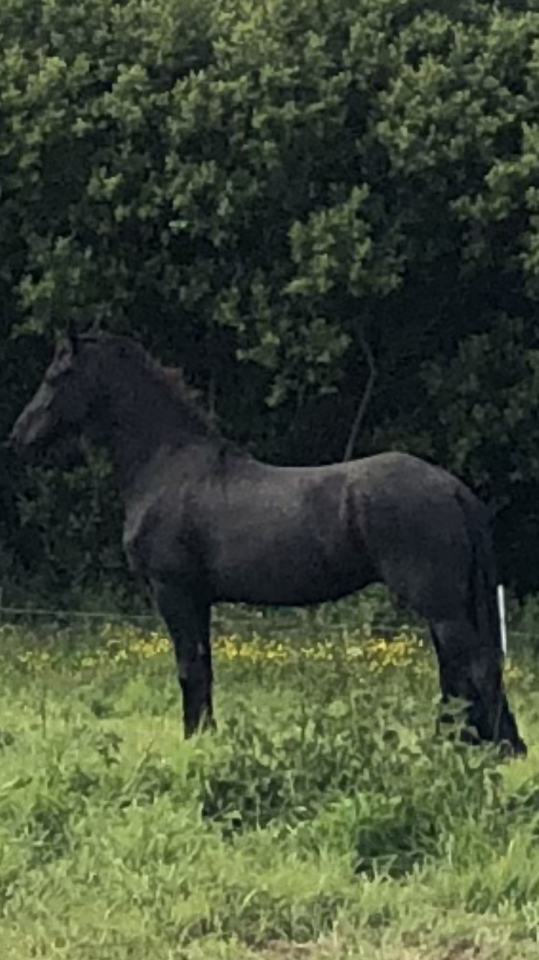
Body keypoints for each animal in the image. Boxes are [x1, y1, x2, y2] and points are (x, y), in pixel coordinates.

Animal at [5, 331, 526, 755]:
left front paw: (194, 741)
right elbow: (204, 668)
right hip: (446, 605)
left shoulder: (174, 592)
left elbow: (189, 668)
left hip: (439, 603)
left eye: (56, 376)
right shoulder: (198, 599)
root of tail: (453, 489)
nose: (17, 438)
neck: (166, 465)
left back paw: (492, 748)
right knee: (458, 670)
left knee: (476, 666)